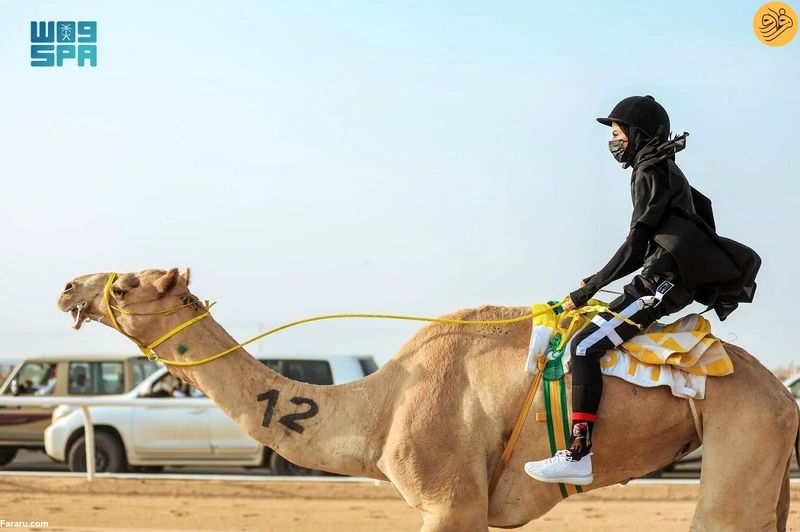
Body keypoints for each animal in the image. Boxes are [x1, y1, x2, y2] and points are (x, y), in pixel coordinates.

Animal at [57, 270, 800, 532]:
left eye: (124, 286)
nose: (70, 287)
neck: (380, 407)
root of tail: (779, 391)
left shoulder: (451, 501)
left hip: (742, 427)